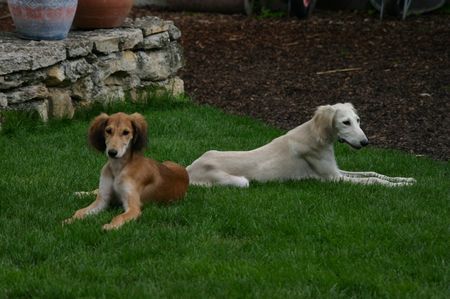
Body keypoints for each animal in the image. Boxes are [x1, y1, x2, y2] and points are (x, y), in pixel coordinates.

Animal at [185, 103, 414, 188]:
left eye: (358, 120)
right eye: (345, 122)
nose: (365, 142)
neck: (317, 136)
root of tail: (188, 169)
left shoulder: (336, 170)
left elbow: (373, 172)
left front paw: (405, 179)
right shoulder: (333, 178)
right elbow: (373, 180)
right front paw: (399, 186)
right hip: (241, 182)